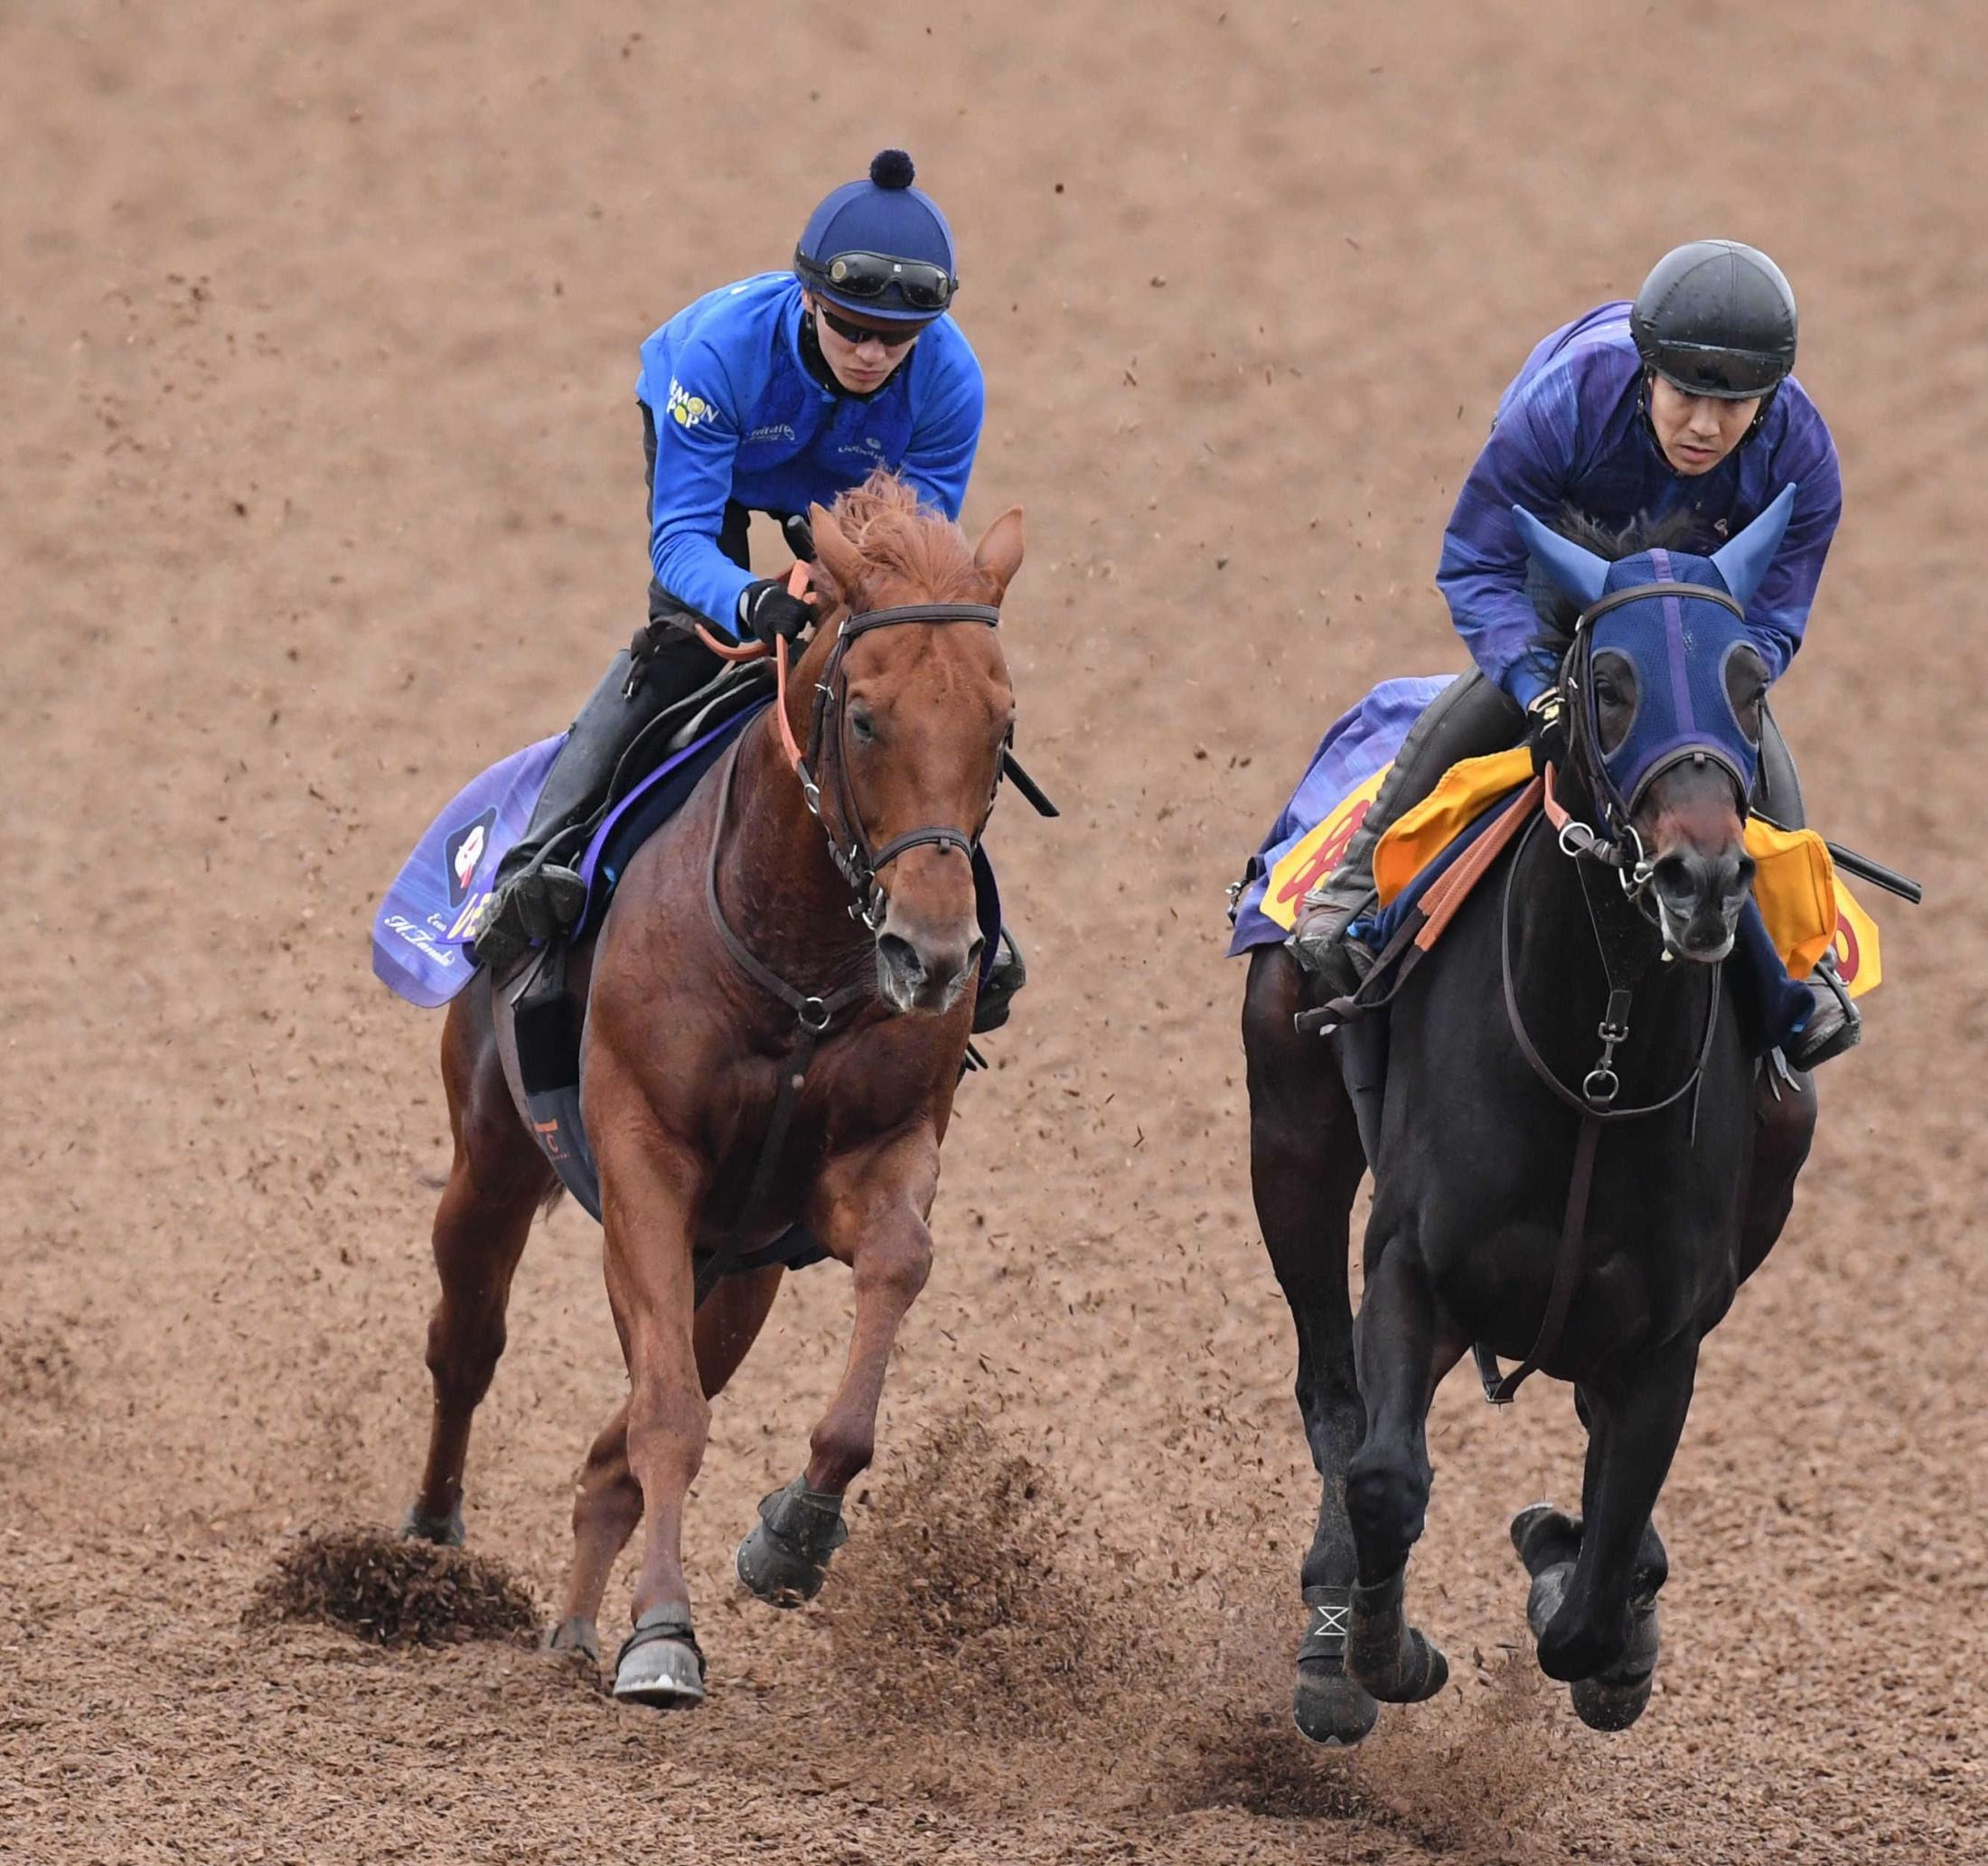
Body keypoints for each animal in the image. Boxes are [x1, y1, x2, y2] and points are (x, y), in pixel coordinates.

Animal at [403, 471, 1026, 1709]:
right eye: (866, 716)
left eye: (1002, 724)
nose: (933, 955)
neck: (801, 969)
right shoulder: (645, 1160)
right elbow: (668, 1418)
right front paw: (663, 1633)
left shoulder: (861, 1163)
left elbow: (894, 1266)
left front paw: (793, 1531)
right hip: (495, 1155)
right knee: (471, 1341)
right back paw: (432, 1540)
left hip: (737, 1275)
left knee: (613, 1443)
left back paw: (573, 1625)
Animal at [1248, 492, 1821, 1732]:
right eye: (1606, 683)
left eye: (1750, 682)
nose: (1701, 878)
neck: (1594, 1062)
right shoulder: (1412, 1262)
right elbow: (1384, 1477)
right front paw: (1382, 1649)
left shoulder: (1665, 1338)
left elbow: (1590, 1601)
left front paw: (1586, 1585)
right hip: (1291, 1127)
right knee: (1332, 1396)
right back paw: (1329, 1635)